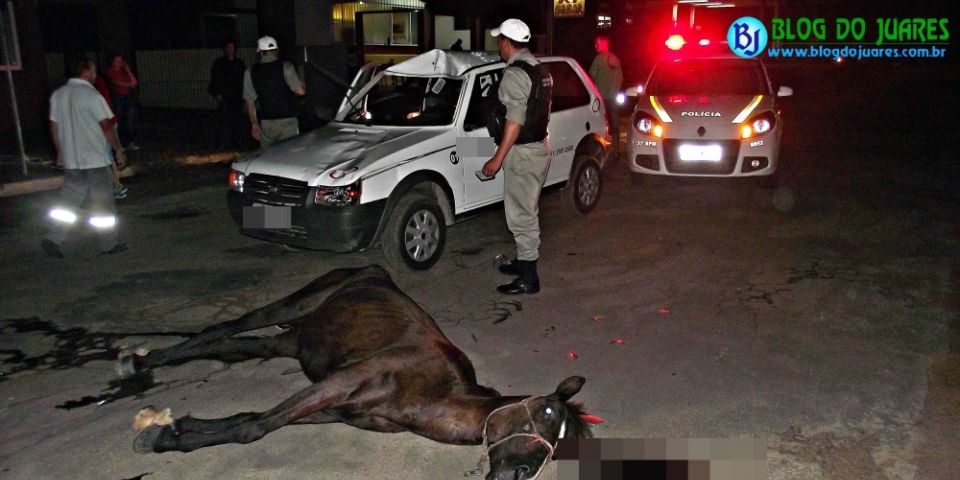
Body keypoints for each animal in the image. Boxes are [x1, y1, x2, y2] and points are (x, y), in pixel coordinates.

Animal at [120, 266, 592, 480]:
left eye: (559, 446)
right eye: (547, 413)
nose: (521, 475)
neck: (432, 394)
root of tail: (369, 269)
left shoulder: (334, 409)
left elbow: (246, 421)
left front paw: (169, 433)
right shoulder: (339, 383)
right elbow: (254, 427)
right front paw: (159, 434)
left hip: (290, 342)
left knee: (228, 343)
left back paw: (143, 363)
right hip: (294, 305)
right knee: (227, 327)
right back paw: (139, 360)